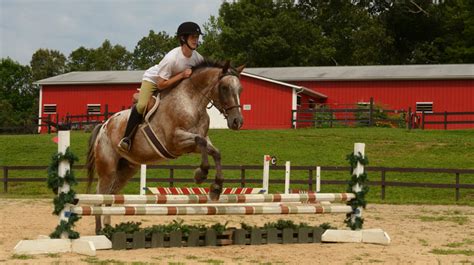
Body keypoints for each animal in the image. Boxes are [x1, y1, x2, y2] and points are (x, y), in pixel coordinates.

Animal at [86, 60, 244, 232]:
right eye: (224, 88)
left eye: (240, 89)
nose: (237, 122)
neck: (192, 103)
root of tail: (104, 125)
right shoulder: (175, 142)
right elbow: (200, 142)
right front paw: (200, 174)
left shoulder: (193, 144)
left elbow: (215, 152)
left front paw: (216, 188)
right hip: (108, 169)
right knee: (99, 196)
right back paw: (100, 231)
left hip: (125, 170)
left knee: (109, 198)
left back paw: (108, 230)